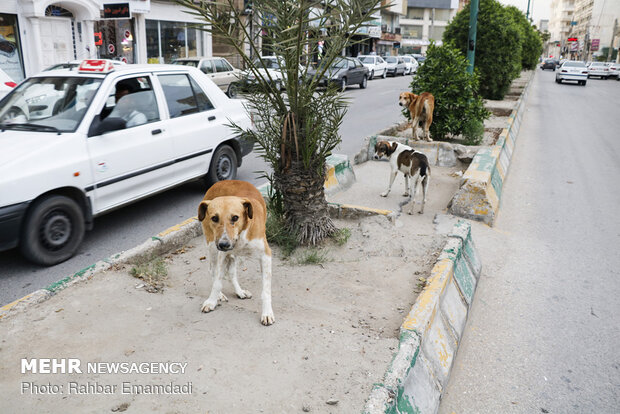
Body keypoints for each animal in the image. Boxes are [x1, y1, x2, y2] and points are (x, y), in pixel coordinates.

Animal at [196, 180, 274, 326]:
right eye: (214, 218)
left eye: (235, 217)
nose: (224, 244)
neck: (241, 234)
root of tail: (220, 182)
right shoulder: (222, 254)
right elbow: (217, 282)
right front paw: (212, 301)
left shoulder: (265, 255)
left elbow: (266, 290)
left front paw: (267, 313)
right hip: (212, 247)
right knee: (213, 270)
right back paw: (220, 295)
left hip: (233, 255)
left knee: (231, 272)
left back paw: (240, 291)